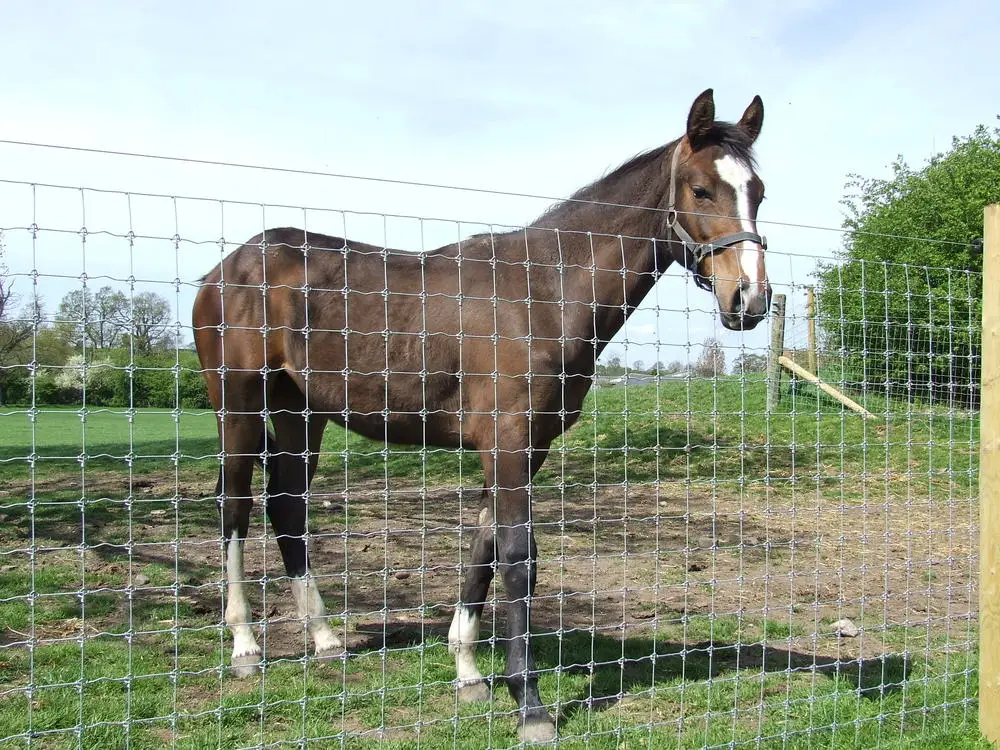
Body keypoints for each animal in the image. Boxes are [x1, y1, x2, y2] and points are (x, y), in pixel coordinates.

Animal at [192, 88, 771, 744]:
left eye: (758, 192)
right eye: (701, 189)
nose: (750, 299)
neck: (543, 291)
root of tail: (228, 267)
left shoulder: (525, 448)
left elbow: (485, 549)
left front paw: (468, 671)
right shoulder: (509, 443)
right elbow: (519, 558)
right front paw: (531, 706)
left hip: (301, 415)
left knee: (287, 506)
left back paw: (324, 637)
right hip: (238, 407)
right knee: (235, 505)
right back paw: (244, 645)